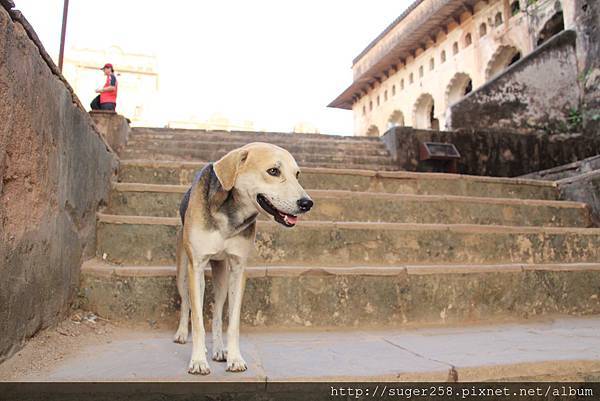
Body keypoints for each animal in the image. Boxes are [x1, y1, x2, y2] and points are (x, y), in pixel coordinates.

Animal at [173, 142, 314, 374]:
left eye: (297, 174)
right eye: (273, 171)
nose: (307, 203)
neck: (229, 215)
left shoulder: (238, 269)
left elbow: (232, 322)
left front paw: (234, 358)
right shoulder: (197, 265)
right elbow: (198, 320)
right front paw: (198, 361)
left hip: (221, 277)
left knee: (217, 313)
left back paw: (218, 349)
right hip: (184, 273)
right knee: (188, 304)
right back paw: (184, 334)